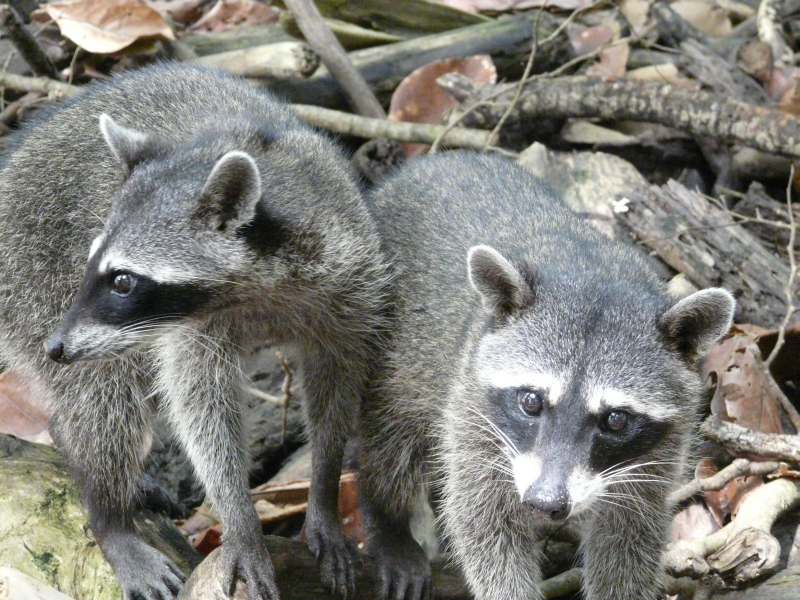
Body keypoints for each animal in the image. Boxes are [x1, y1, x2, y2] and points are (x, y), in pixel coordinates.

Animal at [0, 64, 389, 599]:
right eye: (94, 267)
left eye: (122, 280)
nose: (55, 347)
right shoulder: (191, 326)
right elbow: (201, 406)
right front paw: (239, 518)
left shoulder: (349, 279)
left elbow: (338, 381)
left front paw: (325, 489)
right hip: (32, 275)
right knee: (105, 396)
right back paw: (110, 519)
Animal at [357, 152, 734, 600]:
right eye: (531, 401)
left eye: (616, 419)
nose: (545, 503)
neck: (597, 278)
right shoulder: (473, 407)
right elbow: (481, 519)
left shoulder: (659, 451)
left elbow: (628, 536)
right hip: (394, 351)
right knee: (390, 441)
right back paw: (386, 518)